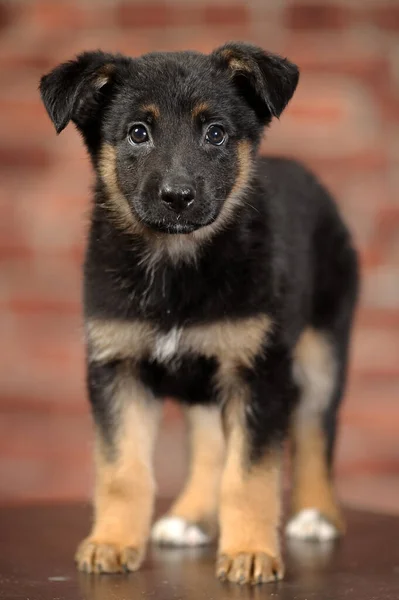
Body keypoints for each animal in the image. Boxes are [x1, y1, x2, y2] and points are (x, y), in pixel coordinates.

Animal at [39, 43, 360, 584]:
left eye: (215, 133)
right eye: (137, 132)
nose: (177, 197)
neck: (176, 266)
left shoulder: (259, 371)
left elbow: (249, 475)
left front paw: (250, 551)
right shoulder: (117, 367)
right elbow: (122, 471)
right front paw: (112, 542)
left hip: (321, 353)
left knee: (317, 429)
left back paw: (316, 515)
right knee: (211, 445)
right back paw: (190, 517)